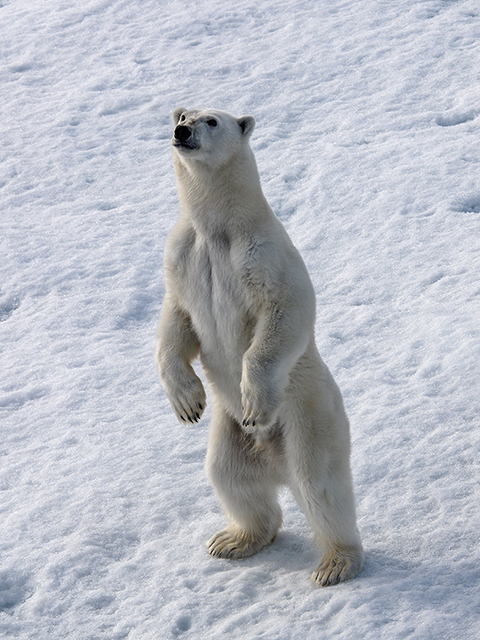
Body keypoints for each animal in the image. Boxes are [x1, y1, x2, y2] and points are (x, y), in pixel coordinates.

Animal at [158, 106, 364, 584]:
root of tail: (275, 461)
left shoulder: (264, 255)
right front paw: (187, 403)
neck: (219, 231)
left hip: (308, 416)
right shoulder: (182, 257)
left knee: (319, 484)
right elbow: (177, 322)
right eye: (182, 113)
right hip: (229, 432)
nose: (182, 131)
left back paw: (336, 562)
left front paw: (254, 402)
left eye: (212, 120)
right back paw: (233, 539)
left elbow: (283, 312)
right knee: (229, 476)